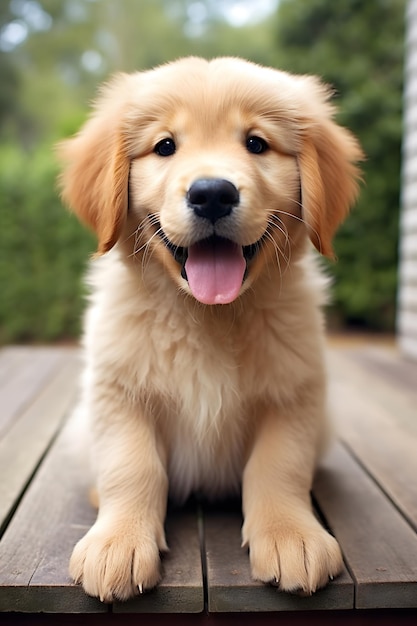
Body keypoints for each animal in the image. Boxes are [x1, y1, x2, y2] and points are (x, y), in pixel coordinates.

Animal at [57, 57, 360, 600]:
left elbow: (279, 465)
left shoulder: (295, 392)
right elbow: (129, 465)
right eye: (165, 146)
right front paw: (117, 542)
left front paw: (291, 535)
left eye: (256, 143)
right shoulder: (117, 391)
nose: (213, 193)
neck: (209, 314)